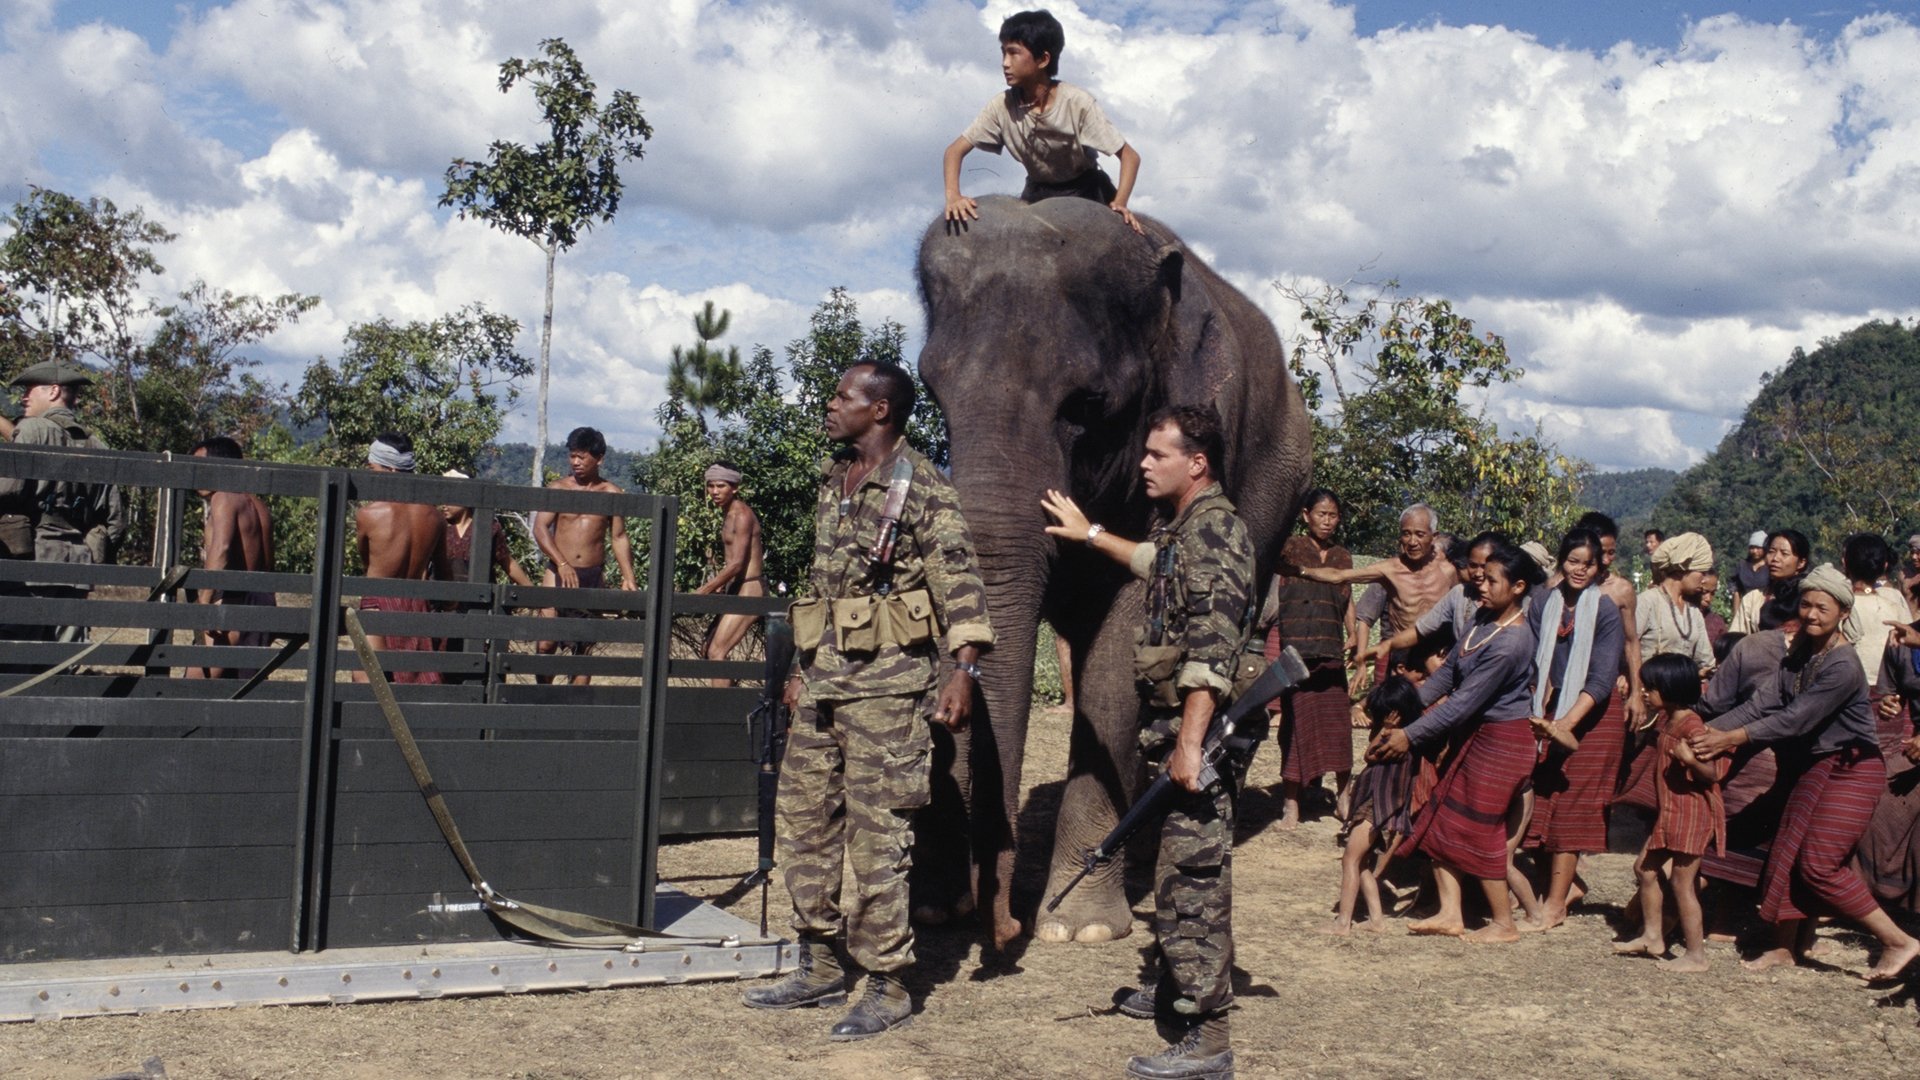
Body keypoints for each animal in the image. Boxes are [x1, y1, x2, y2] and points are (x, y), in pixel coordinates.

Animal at [910, 193, 1305, 941]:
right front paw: (937, 908)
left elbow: (1124, 647)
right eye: (930, 389)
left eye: (1087, 404)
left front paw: (1079, 927)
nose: (997, 923)